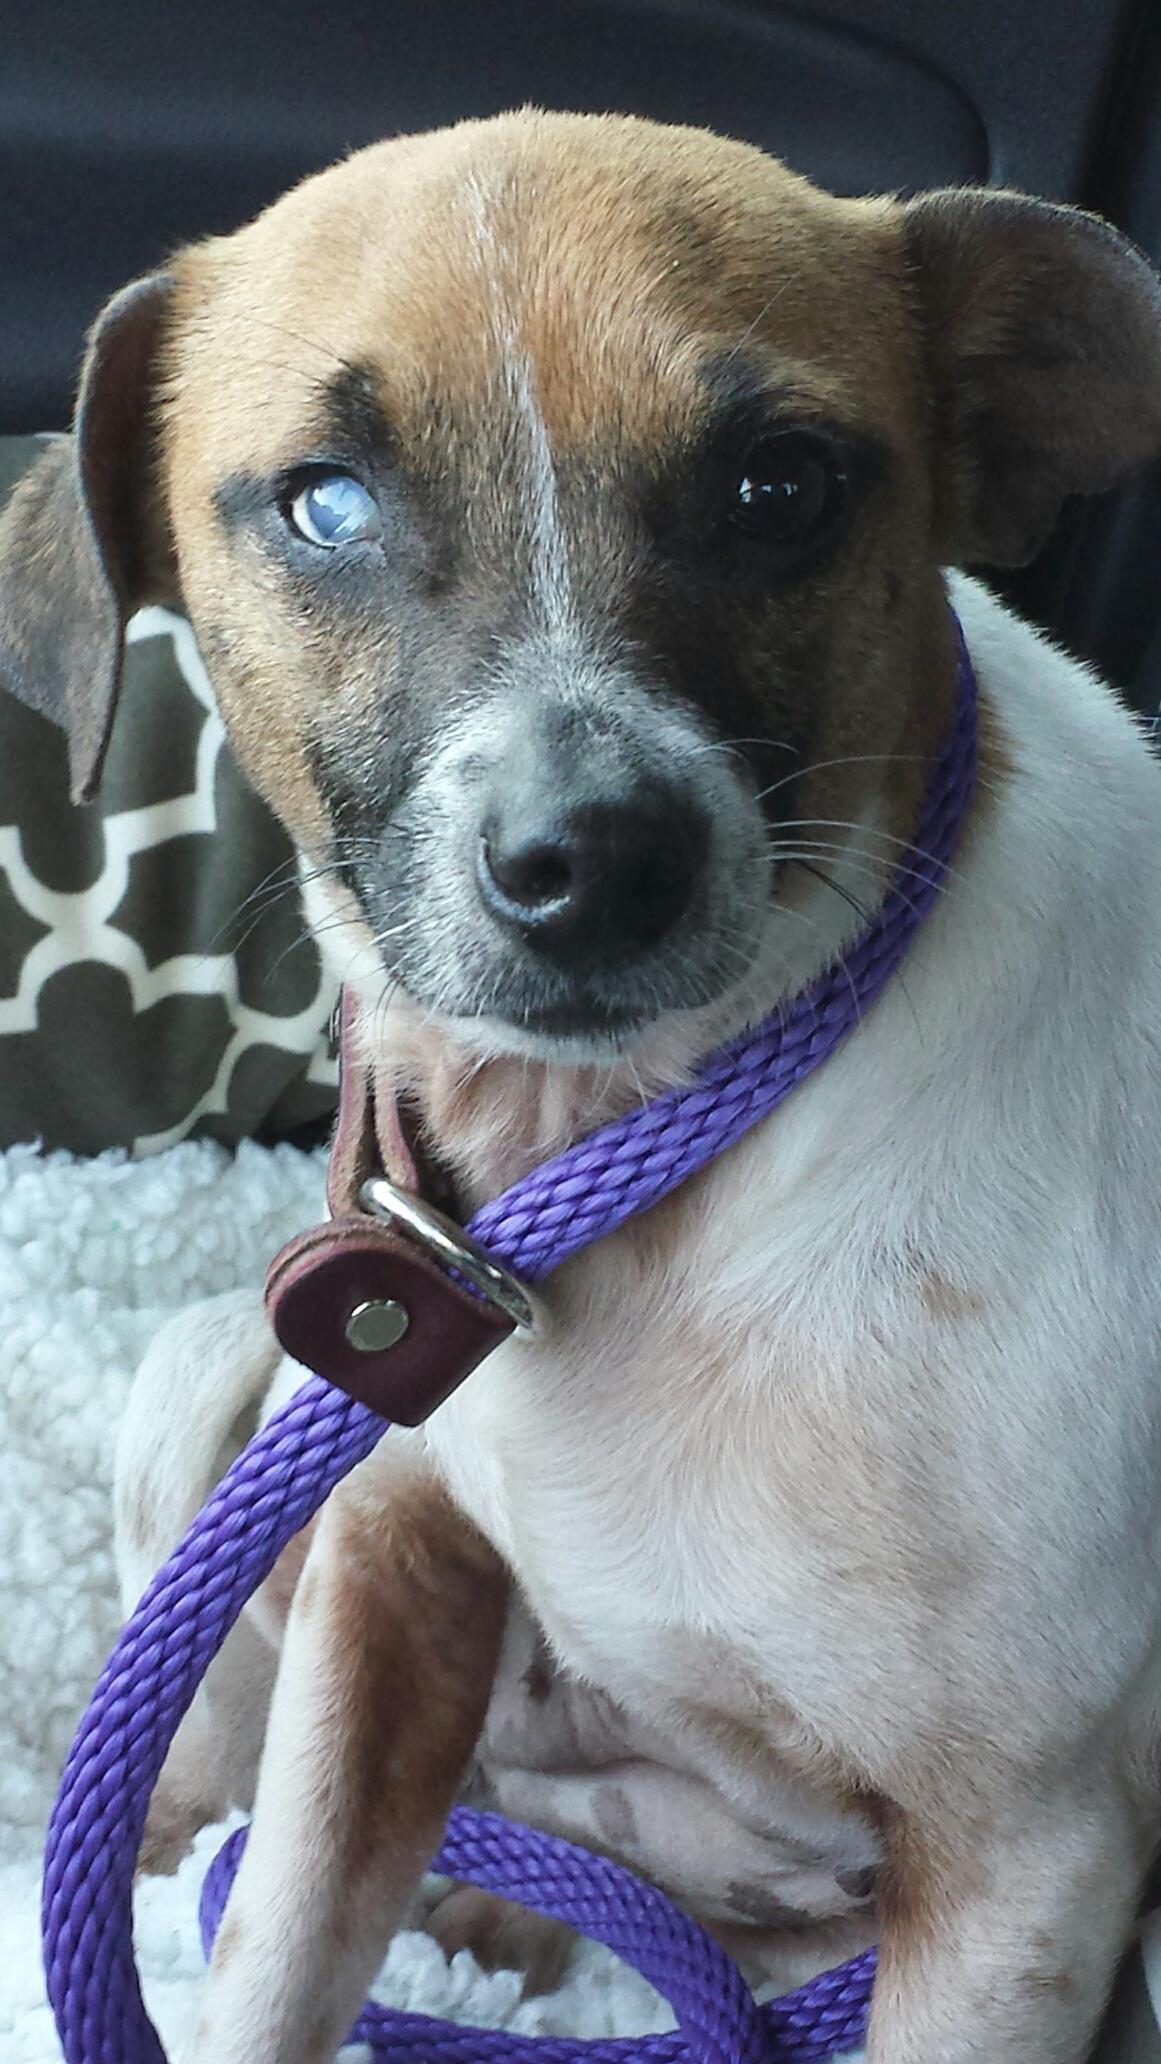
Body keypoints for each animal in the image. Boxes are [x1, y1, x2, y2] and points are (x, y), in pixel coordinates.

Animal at [2, 108, 1156, 2064]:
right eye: (325, 501)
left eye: (782, 486)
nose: (591, 860)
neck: (645, 1157)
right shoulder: (384, 1555)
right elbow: (271, 1956)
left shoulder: (1028, 1874)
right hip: (219, 1399)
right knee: (230, 1781)